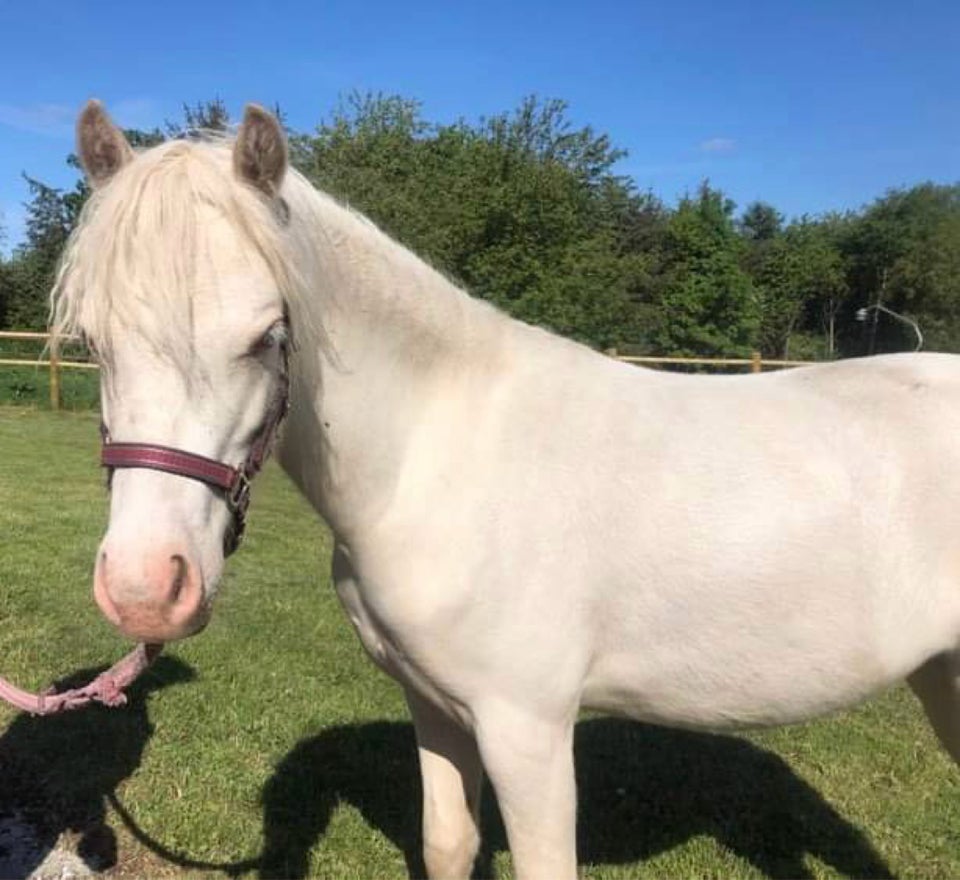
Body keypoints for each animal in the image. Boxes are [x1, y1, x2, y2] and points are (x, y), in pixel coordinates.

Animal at [54, 101, 960, 872]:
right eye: (93, 342)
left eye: (268, 337)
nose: (144, 590)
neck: (437, 457)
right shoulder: (435, 708)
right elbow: (449, 845)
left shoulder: (527, 728)